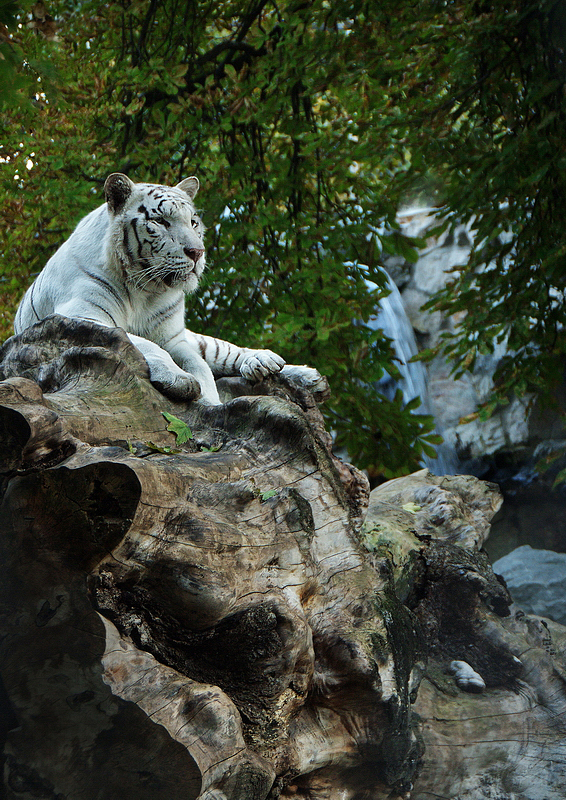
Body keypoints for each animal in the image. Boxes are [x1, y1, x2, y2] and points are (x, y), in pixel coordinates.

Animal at [15, 172, 326, 404]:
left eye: (193, 222)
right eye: (160, 222)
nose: (197, 252)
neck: (143, 289)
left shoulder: (175, 337)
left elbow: (201, 366)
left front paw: (211, 402)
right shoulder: (83, 316)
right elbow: (143, 344)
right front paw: (179, 379)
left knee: (226, 351)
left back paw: (283, 367)